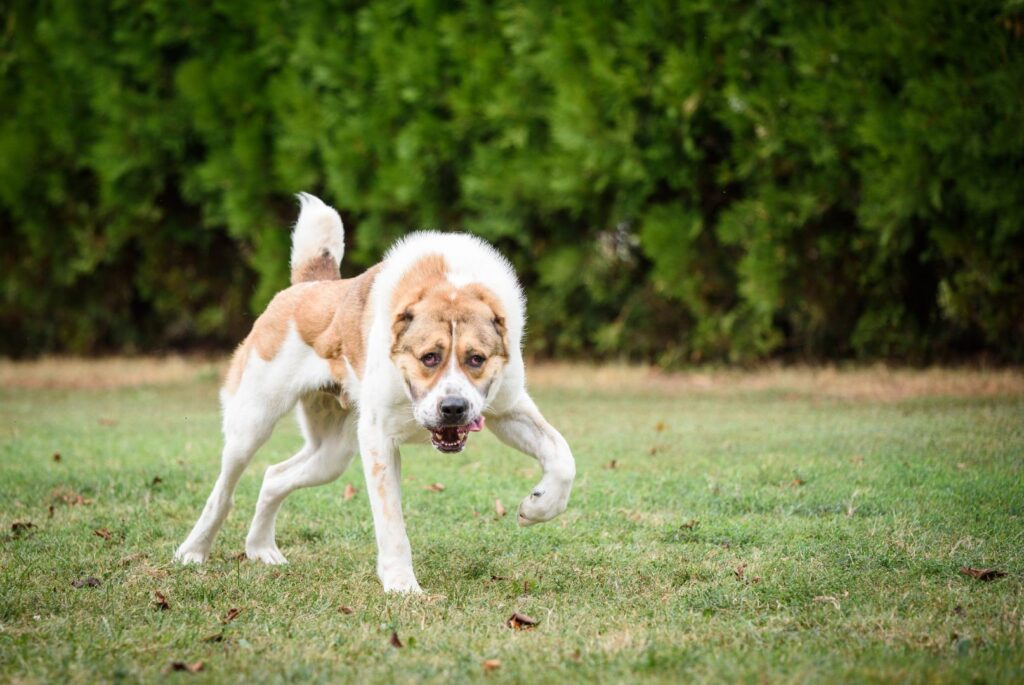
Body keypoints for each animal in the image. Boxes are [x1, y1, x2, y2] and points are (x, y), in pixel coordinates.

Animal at [174, 194, 577, 589]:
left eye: (476, 359)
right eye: (429, 357)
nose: (453, 408)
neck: (448, 283)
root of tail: (308, 285)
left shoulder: (508, 410)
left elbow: (562, 457)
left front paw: (538, 506)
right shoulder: (378, 439)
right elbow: (391, 521)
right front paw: (401, 584)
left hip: (332, 455)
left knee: (274, 476)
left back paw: (261, 549)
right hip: (252, 423)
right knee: (223, 492)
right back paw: (193, 551)